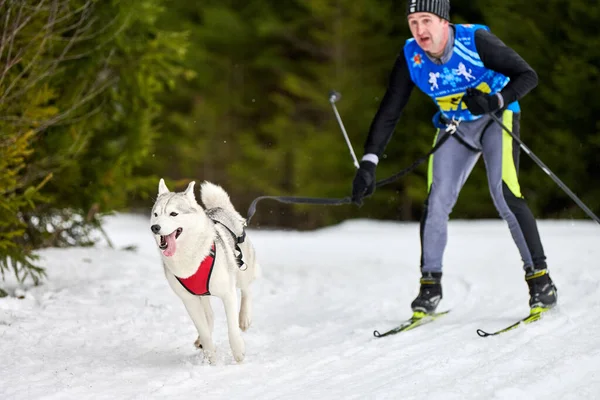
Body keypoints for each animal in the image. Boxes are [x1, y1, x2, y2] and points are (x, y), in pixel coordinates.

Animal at [150, 178, 258, 362]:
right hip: (202, 295)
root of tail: (222, 209)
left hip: (241, 270)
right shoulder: (189, 300)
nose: (155, 227)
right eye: (156, 214)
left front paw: (238, 351)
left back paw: (244, 318)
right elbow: (205, 330)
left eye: (173, 214)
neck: (191, 258)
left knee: (247, 290)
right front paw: (210, 357)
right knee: (210, 316)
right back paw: (201, 340)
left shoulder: (228, 293)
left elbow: (232, 328)